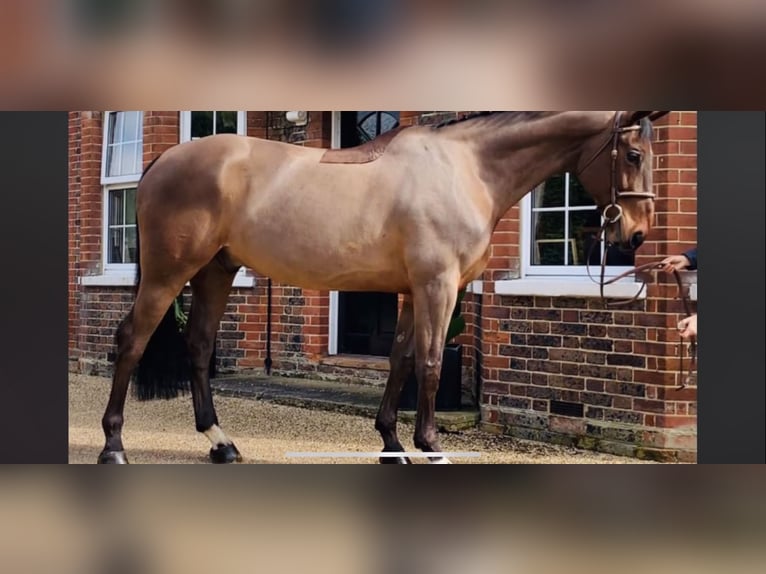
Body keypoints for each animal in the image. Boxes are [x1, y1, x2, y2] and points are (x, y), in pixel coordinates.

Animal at [99, 110, 668, 466]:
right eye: (634, 154)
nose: (636, 234)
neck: (467, 170)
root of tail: (163, 161)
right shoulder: (438, 286)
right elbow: (432, 364)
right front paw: (430, 445)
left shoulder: (414, 291)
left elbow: (401, 361)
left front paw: (392, 443)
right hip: (169, 273)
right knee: (131, 341)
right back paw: (114, 445)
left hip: (215, 272)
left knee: (198, 346)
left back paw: (222, 444)